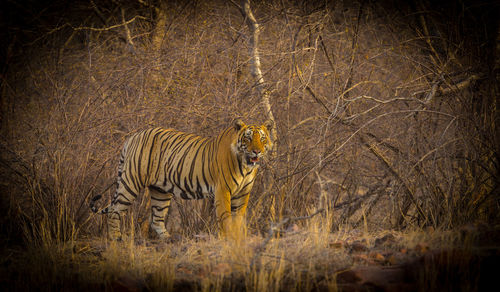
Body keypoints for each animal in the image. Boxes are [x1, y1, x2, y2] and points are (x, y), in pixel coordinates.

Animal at [90, 118, 274, 240]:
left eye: (262, 138)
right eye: (248, 138)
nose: (257, 151)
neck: (245, 166)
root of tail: (133, 136)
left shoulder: (243, 194)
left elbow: (238, 218)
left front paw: (239, 237)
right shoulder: (223, 191)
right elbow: (225, 217)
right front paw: (228, 239)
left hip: (160, 191)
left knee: (157, 219)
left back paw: (168, 240)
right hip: (131, 182)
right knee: (114, 210)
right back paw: (116, 238)